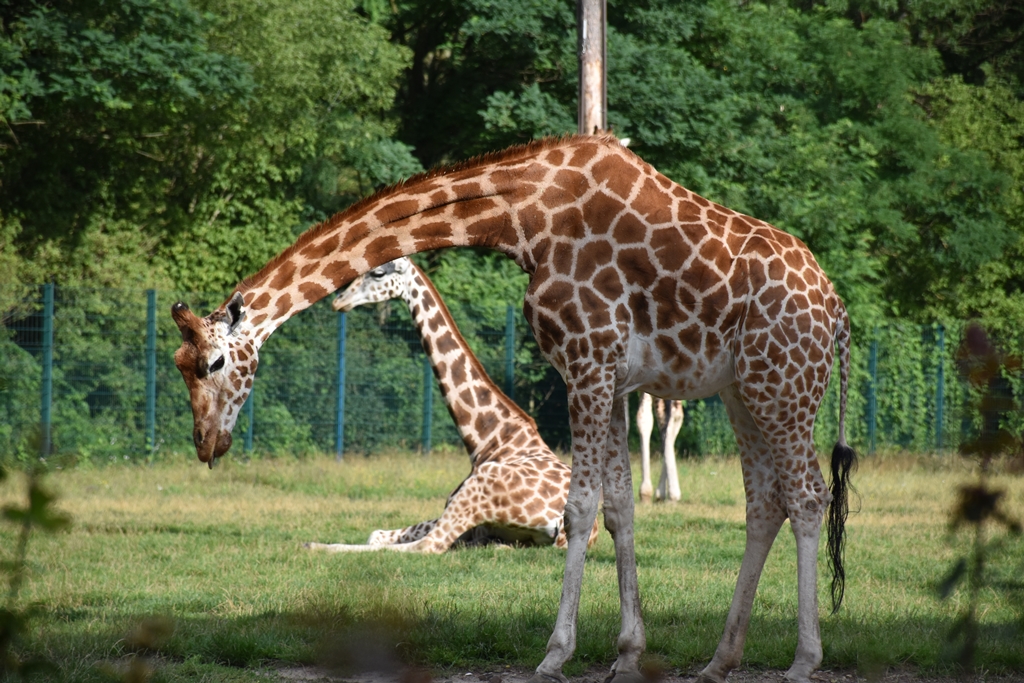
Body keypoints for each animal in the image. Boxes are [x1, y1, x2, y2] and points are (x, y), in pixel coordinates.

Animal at [304, 256, 599, 553]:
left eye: (377, 273)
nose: (339, 302)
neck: (489, 438)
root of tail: (561, 525)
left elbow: (386, 540)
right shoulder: (474, 530)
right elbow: (375, 533)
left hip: (478, 493)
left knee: (425, 546)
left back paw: (314, 545)